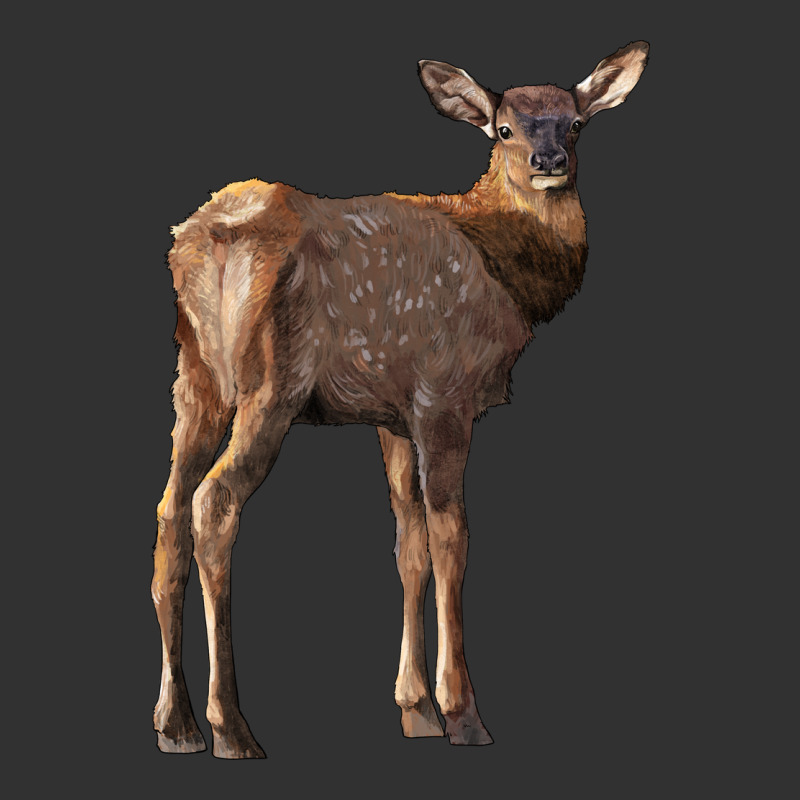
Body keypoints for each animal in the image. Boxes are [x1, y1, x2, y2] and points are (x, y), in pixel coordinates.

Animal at [152, 41, 649, 759]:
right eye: (503, 130)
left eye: (576, 123)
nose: (549, 161)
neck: (508, 273)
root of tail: (209, 238)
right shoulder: (446, 394)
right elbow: (451, 537)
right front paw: (463, 714)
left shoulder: (390, 412)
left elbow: (408, 543)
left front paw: (415, 710)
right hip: (270, 382)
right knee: (213, 502)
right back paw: (232, 727)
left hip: (196, 376)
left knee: (169, 509)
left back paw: (177, 724)